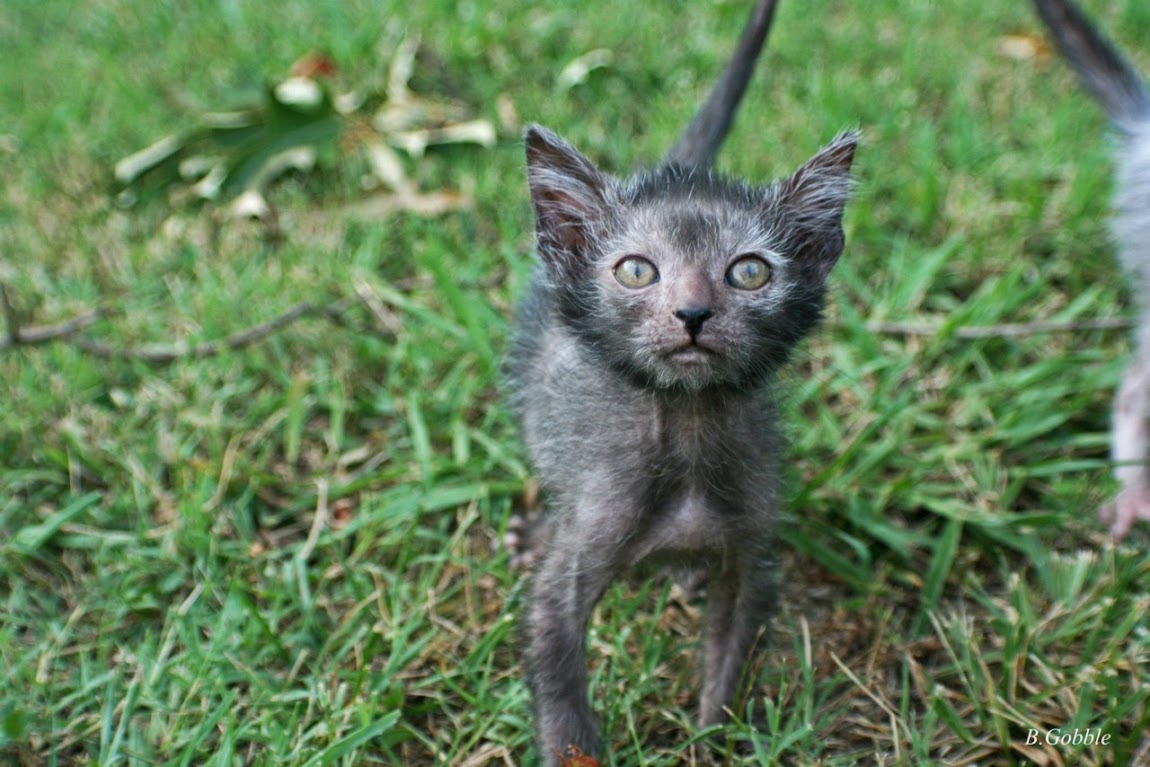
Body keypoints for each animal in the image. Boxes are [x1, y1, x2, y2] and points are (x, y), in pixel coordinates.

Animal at [508, 0, 860, 763]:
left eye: (749, 271)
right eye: (637, 270)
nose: (694, 313)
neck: (690, 431)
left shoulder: (751, 559)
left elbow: (731, 664)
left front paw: (712, 739)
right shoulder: (574, 560)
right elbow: (557, 667)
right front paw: (575, 743)